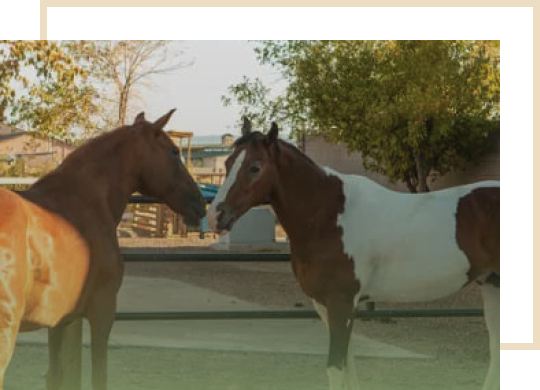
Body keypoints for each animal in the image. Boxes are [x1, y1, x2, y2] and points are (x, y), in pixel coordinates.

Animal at [0, 110, 207, 390]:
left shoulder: (61, 320)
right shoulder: (103, 311)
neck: (90, 199)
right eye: (173, 151)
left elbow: (57, 376)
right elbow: (99, 376)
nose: (201, 203)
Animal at [208, 119, 502, 390]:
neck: (328, 216)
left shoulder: (342, 302)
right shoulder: (325, 304)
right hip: (492, 284)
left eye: (255, 167)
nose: (215, 216)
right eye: (228, 163)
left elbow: (336, 366)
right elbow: (348, 363)